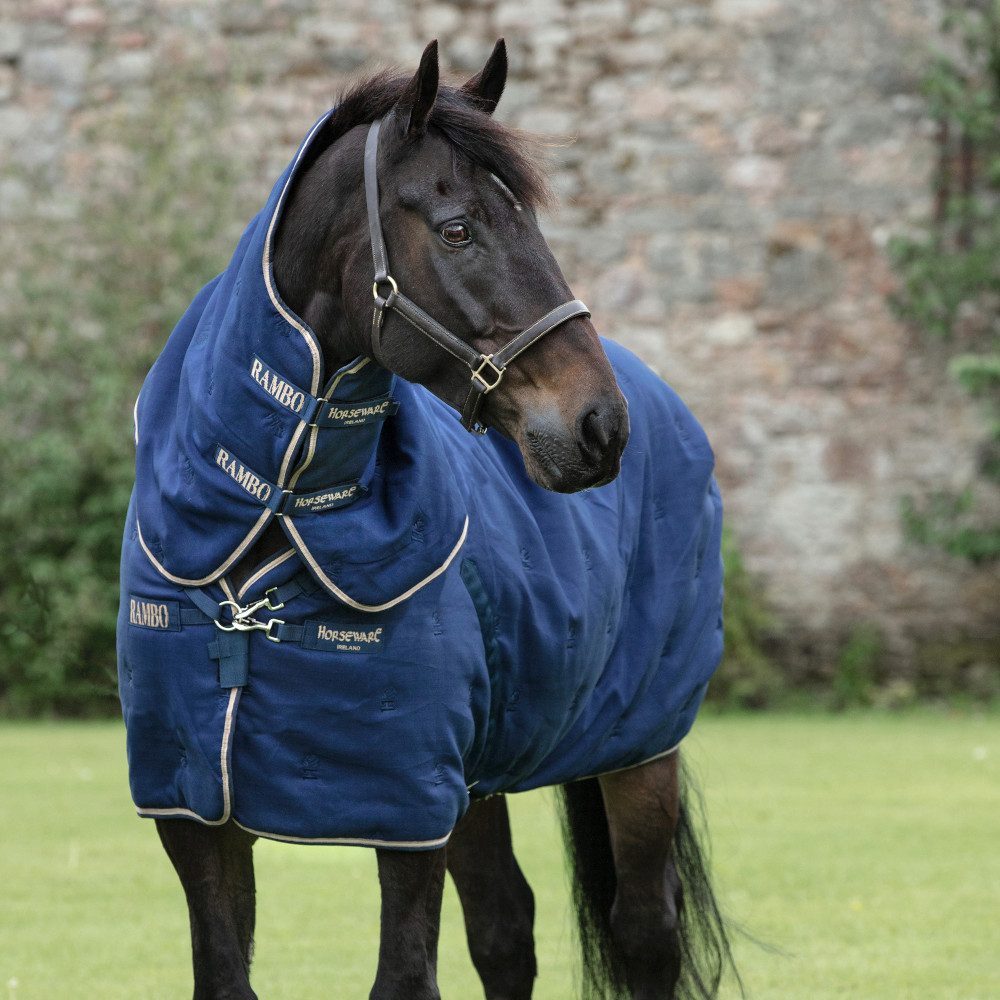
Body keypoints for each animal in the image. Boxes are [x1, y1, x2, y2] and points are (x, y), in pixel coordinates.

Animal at [116, 39, 740, 1000]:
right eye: (457, 229)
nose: (599, 426)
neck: (275, 514)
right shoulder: (197, 814)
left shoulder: (407, 817)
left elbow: (404, 978)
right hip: (476, 785)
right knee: (506, 931)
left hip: (639, 750)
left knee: (644, 933)